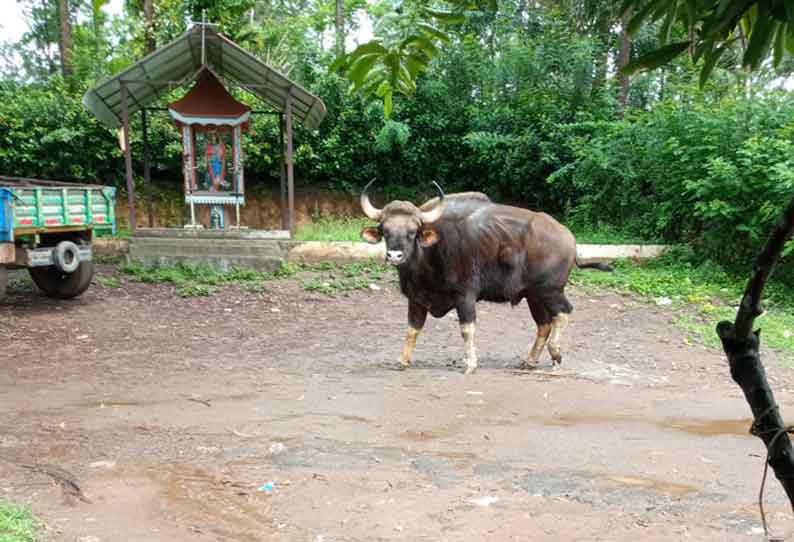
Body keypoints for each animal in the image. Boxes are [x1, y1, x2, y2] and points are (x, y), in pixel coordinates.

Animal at [360, 182, 612, 374]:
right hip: (534, 295)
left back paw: (556, 352)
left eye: (412, 231)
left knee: (563, 313)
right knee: (544, 324)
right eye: (385, 231)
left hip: (550, 289)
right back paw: (529, 360)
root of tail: (569, 239)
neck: (428, 257)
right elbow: (412, 329)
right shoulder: (416, 298)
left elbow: (467, 329)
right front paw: (403, 360)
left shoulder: (465, 296)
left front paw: (470, 364)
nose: (395, 255)